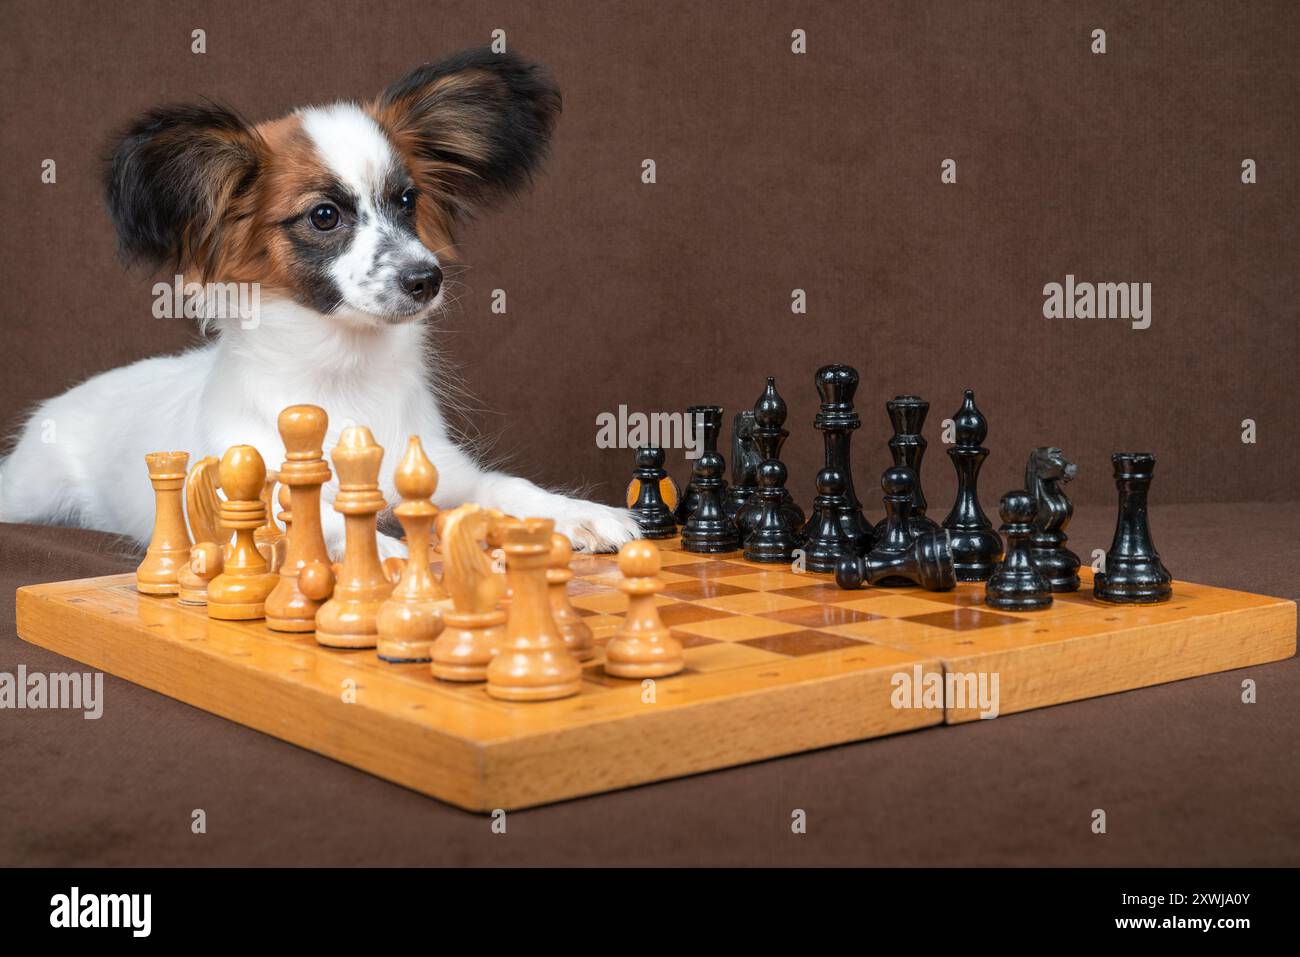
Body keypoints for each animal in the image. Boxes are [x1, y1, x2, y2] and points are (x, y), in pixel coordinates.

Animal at [0, 48, 639, 556]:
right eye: (324, 216)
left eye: (407, 201)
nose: (426, 278)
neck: (343, 374)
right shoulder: (252, 492)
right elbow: (324, 521)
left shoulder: (443, 470)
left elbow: (507, 486)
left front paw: (577, 512)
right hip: (27, 494)